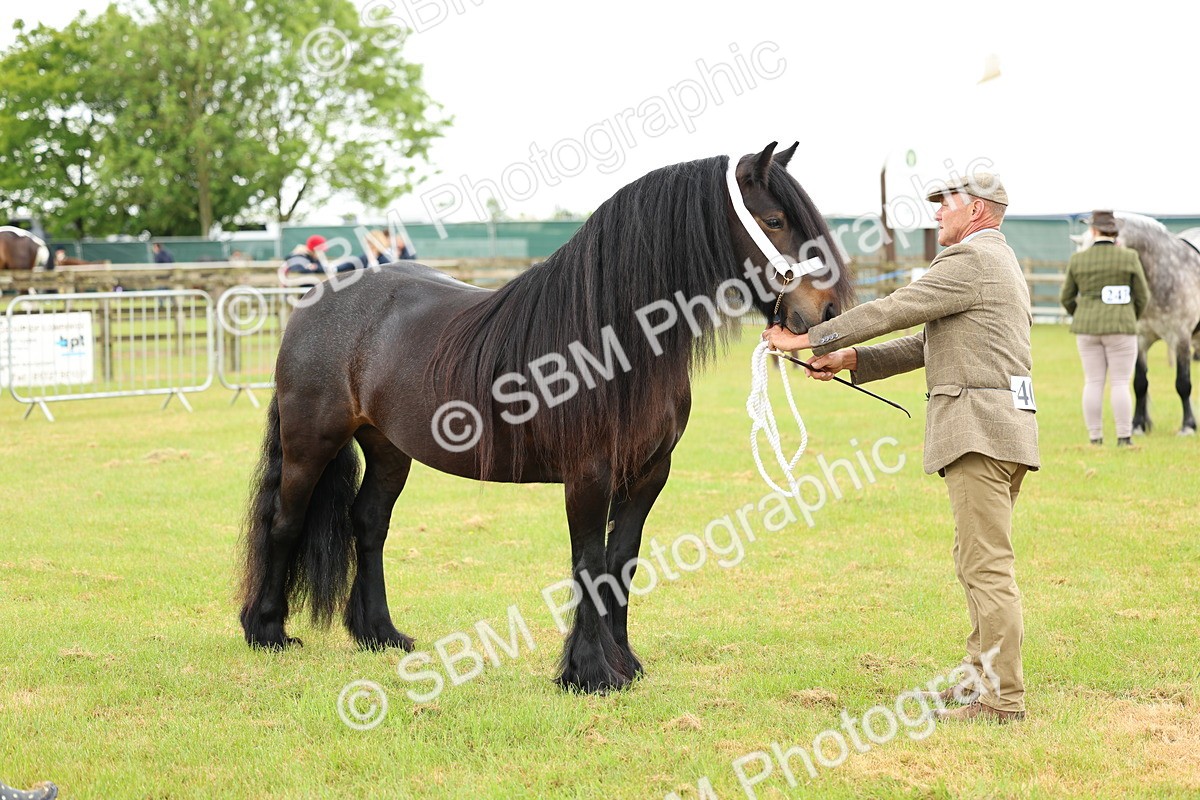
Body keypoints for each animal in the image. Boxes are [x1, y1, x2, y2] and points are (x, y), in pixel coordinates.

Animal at [235, 142, 855, 693]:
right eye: (774, 219)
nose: (828, 312)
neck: (614, 341)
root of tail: (316, 300)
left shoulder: (648, 475)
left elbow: (620, 563)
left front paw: (625, 665)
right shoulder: (587, 475)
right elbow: (589, 564)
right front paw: (589, 674)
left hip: (389, 449)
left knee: (368, 524)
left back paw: (380, 634)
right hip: (311, 442)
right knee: (285, 521)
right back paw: (266, 632)